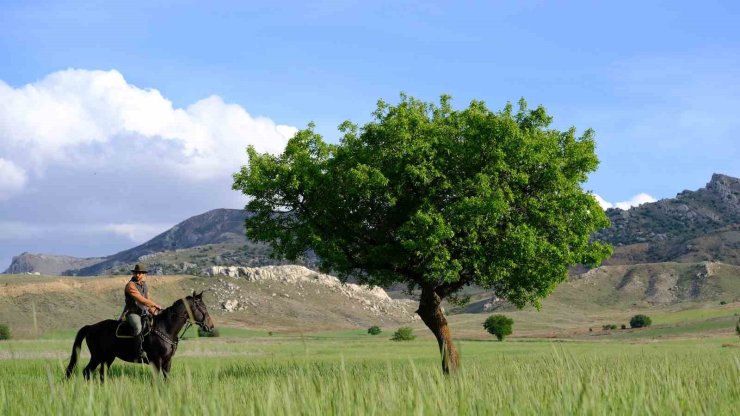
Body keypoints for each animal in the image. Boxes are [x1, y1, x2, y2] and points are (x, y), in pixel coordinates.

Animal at [64, 290, 215, 382]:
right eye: (203, 307)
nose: (210, 325)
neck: (165, 328)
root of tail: (91, 327)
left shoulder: (167, 361)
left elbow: (166, 379)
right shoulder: (156, 360)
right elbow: (158, 380)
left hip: (108, 357)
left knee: (101, 373)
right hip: (97, 356)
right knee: (87, 372)